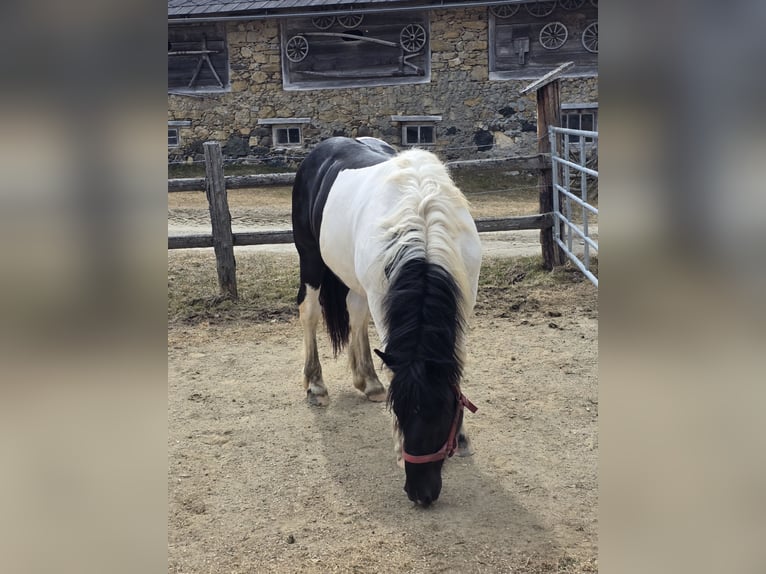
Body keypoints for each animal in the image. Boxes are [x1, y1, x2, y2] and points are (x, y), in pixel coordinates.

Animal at [291, 136, 482, 506]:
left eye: (443, 415)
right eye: (400, 412)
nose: (421, 493)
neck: (424, 225)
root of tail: (321, 150)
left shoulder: (466, 301)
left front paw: (463, 437)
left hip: (357, 280)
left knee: (355, 312)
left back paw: (368, 381)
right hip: (310, 260)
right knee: (310, 313)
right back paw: (316, 385)